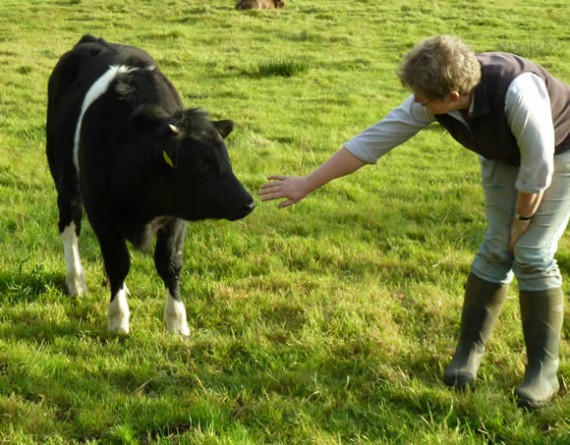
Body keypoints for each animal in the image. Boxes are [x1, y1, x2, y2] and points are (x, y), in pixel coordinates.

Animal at [45, 34, 254, 334]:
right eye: (200, 163)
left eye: (225, 157)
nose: (247, 202)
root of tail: (93, 39)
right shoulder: (101, 212)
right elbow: (118, 262)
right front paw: (118, 318)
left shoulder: (176, 215)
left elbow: (169, 264)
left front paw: (177, 321)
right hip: (64, 179)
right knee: (69, 226)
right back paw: (77, 283)